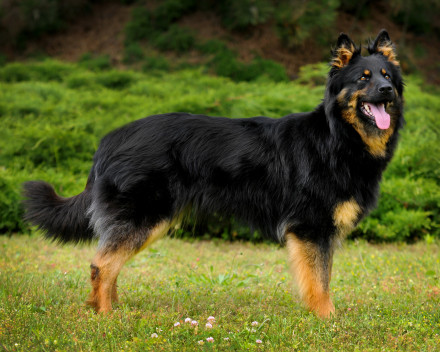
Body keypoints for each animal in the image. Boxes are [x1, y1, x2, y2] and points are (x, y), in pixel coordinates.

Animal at [23, 29, 402, 316]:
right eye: (363, 78)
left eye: (387, 77)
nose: (388, 91)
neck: (338, 137)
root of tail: (109, 140)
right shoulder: (311, 229)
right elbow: (319, 283)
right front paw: (326, 320)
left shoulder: (318, 232)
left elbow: (321, 279)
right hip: (145, 217)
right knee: (101, 265)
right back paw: (105, 316)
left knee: (107, 262)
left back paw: (109, 307)